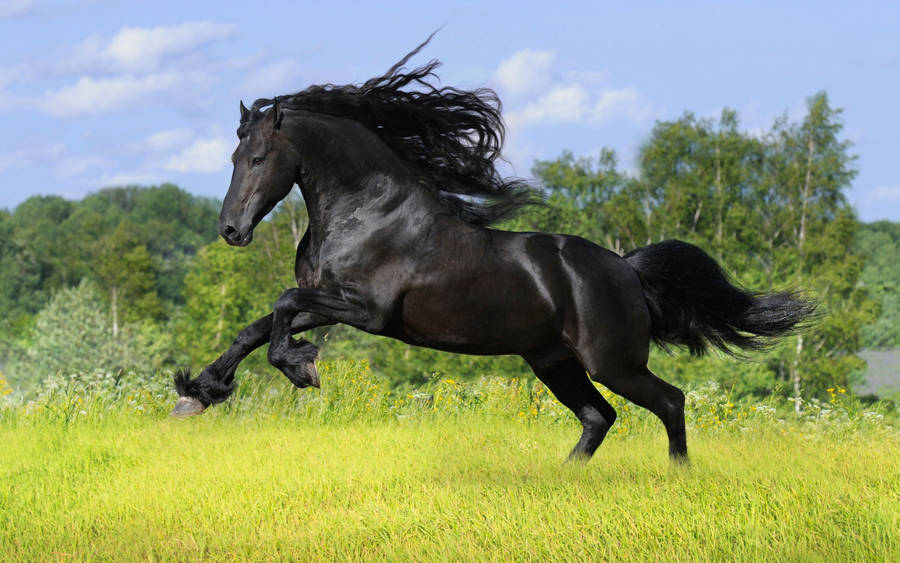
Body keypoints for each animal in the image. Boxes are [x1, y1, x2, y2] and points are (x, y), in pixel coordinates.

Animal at [172, 37, 814, 463]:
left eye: (258, 157)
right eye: (233, 156)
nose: (231, 231)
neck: (368, 212)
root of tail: (627, 270)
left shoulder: (367, 310)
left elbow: (280, 306)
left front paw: (300, 368)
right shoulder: (328, 299)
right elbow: (256, 326)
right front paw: (198, 393)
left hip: (612, 361)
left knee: (669, 401)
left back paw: (677, 476)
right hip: (554, 361)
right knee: (599, 416)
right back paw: (565, 478)